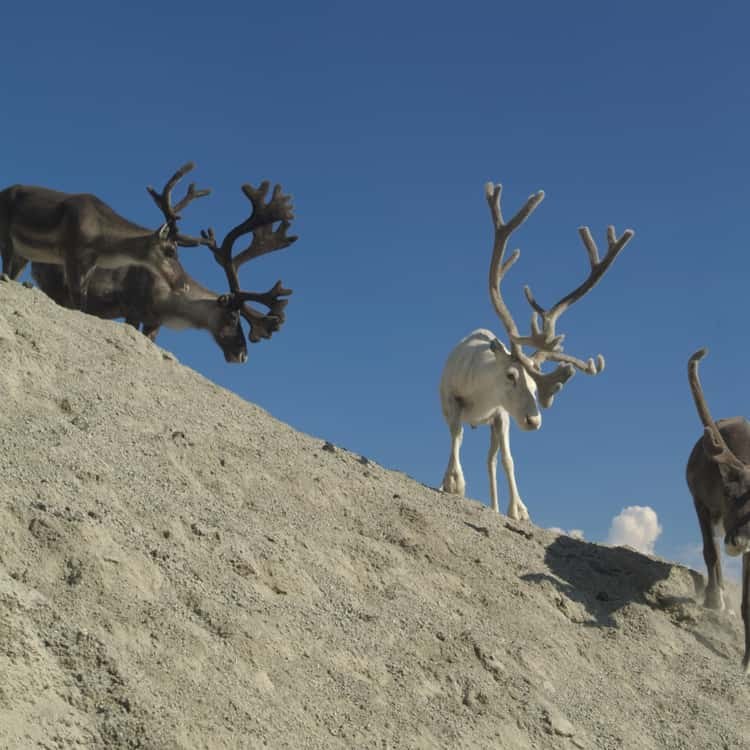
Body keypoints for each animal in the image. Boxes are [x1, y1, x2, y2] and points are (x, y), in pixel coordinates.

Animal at [0, 163, 209, 311]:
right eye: (170, 251)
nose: (184, 287)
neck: (103, 241)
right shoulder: (71, 254)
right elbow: (76, 300)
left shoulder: (90, 264)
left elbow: (83, 301)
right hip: (7, 237)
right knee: (6, 268)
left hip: (24, 254)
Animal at [29, 181, 297, 362]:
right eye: (232, 317)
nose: (242, 355)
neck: (168, 297)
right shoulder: (132, 309)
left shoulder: (154, 323)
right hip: (56, 286)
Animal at [439, 181, 634, 521]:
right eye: (511, 375)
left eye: (534, 383)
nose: (533, 421)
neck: (481, 389)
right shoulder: (453, 399)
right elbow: (455, 436)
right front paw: (453, 482)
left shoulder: (502, 414)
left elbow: (508, 459)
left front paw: (518, 510)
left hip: (495, 422)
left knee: (491, 459)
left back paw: (494, 506)